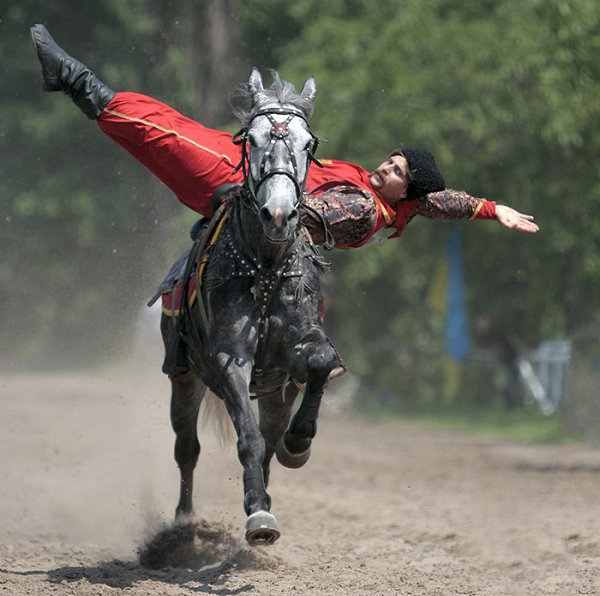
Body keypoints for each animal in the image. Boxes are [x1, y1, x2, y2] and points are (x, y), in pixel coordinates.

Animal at [163, 70, 342, 544]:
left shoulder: (295, 349)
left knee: (271, 431)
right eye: (254, 139)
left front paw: (299, 443)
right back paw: (184, 521)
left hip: (276, 390)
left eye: (307, 144)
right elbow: (248, 437)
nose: (277, 215)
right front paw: (259, 515)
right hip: (184, 379)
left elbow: (320, 359)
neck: (264, 267)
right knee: (187, 448)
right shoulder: (229, 359)